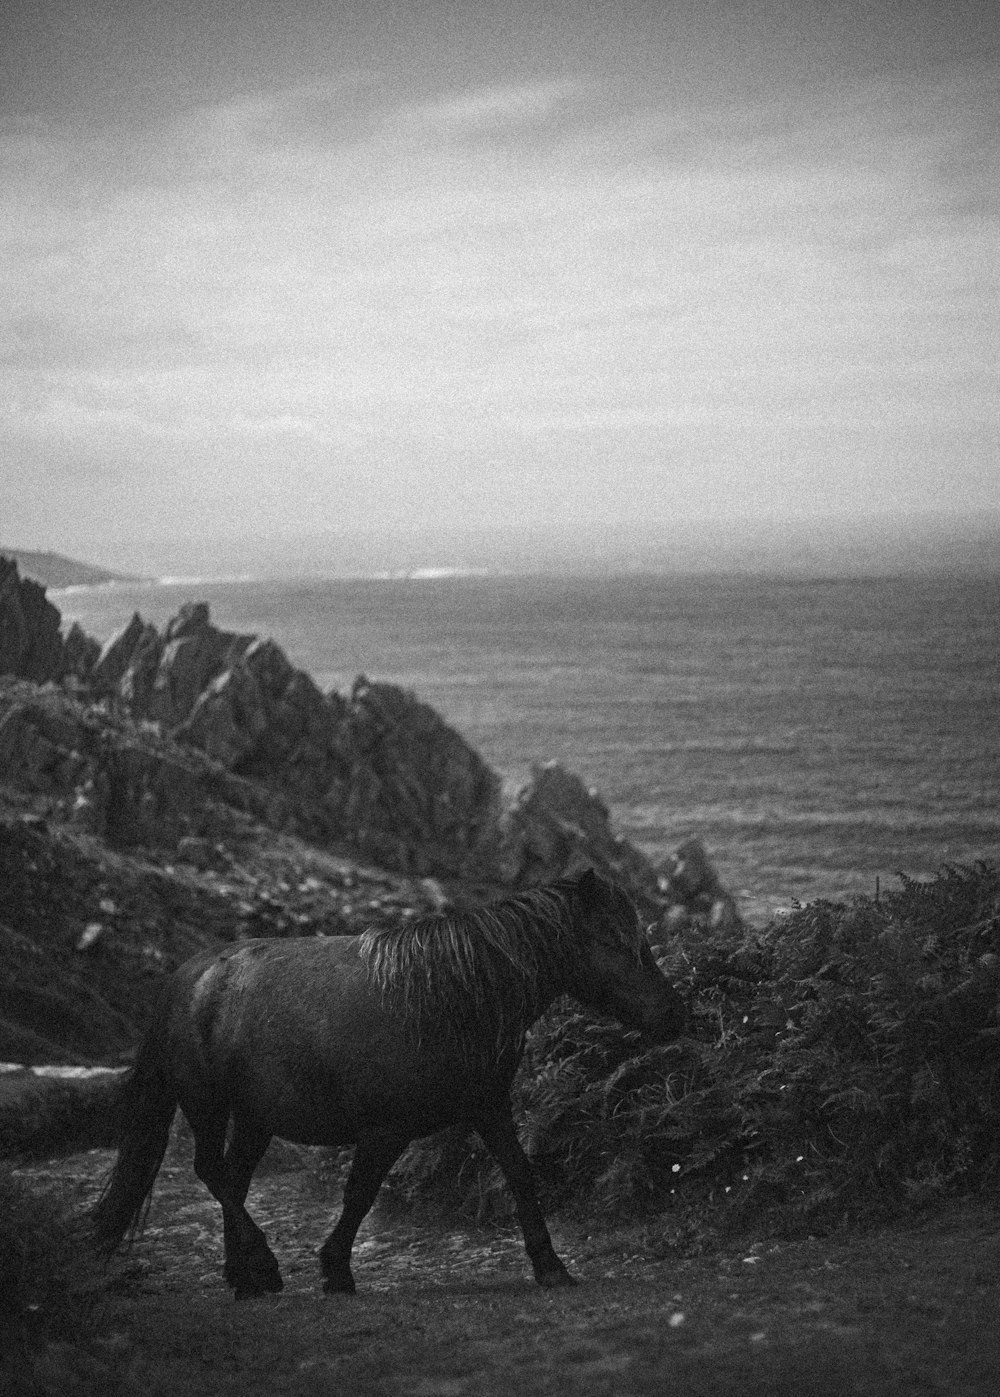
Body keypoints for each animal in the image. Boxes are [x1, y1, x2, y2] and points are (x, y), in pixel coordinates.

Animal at [93, 866, 684, 1290]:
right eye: (617, 942)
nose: (675, 1013)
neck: (449, 996)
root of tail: (188, 977)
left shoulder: (489, 1108)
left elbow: (520, 1174)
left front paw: (551, 1266)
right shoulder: (384, 1131)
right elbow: (360, 1194)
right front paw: (335, 1270)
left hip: (256, 1118)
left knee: (232, 1180)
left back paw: (245, 1278)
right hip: (207, 1106)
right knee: (212, 1173)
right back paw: (263, 1266)